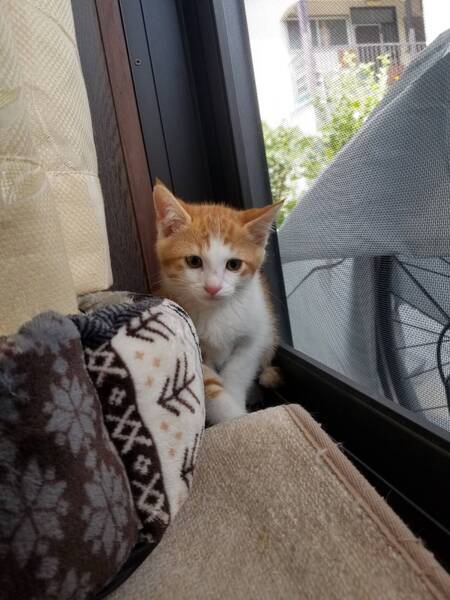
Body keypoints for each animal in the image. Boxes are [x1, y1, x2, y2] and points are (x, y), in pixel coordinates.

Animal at [153, 181, 282, 424]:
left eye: (233, 265)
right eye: (193, 261)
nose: (213, 287)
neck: (217, 311)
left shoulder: (254, 335)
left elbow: (239, 371)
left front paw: (240, 412)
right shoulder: (195, 347)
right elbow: (209, 385)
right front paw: (233, 416)